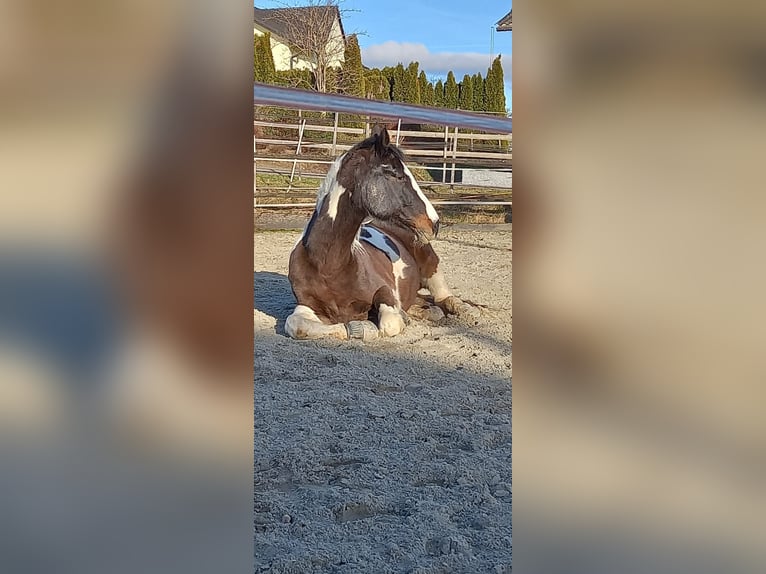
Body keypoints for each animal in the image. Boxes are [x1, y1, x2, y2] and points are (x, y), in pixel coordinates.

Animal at [286, 125, 474, 342]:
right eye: (397, 175)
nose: (434, 223)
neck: (329, 266)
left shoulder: (385, 291)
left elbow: (389, 323)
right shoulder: (306, 304)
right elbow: (298, 326)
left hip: (431, 265)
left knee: (444, 297)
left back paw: (465, 311)